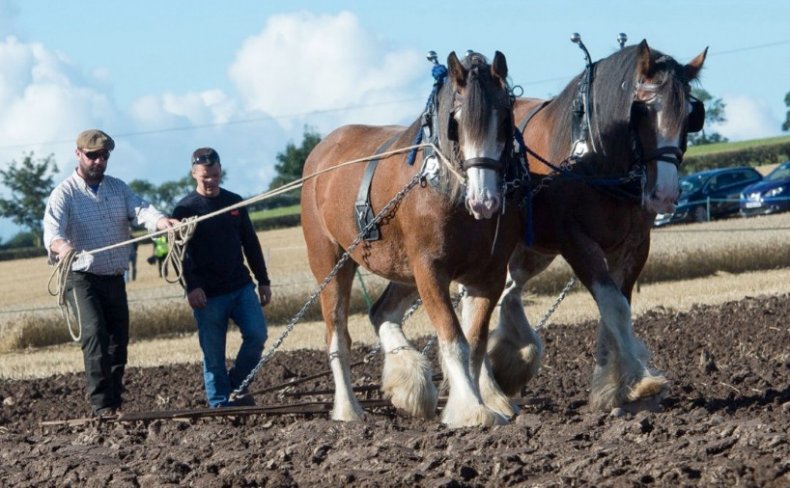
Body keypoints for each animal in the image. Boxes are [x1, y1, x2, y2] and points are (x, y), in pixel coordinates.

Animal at [300, 52, 528, 428]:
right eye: (455, 121)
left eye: (506, 117)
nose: (485, 202)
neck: (450, 189)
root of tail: (320, 153)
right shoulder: (430, 270)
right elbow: (453, 339)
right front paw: (472, 409)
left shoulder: (488, 276)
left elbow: (476, 344)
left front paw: (486, 402)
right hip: (332, 264)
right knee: (337, 337)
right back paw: (348, 410)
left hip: (402, 269)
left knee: (381, 312)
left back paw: (410, 382)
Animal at [488, 39, 712, 412]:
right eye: (641, 111)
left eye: (690, 116)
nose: (665, 194)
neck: (597, 158)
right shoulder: (575, 241)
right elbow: (613, 305)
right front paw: (639, 383)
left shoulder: (635, 245)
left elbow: (617, 307)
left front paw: (616, 388)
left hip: (533, 250)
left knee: (510, 290)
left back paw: (508, 363)